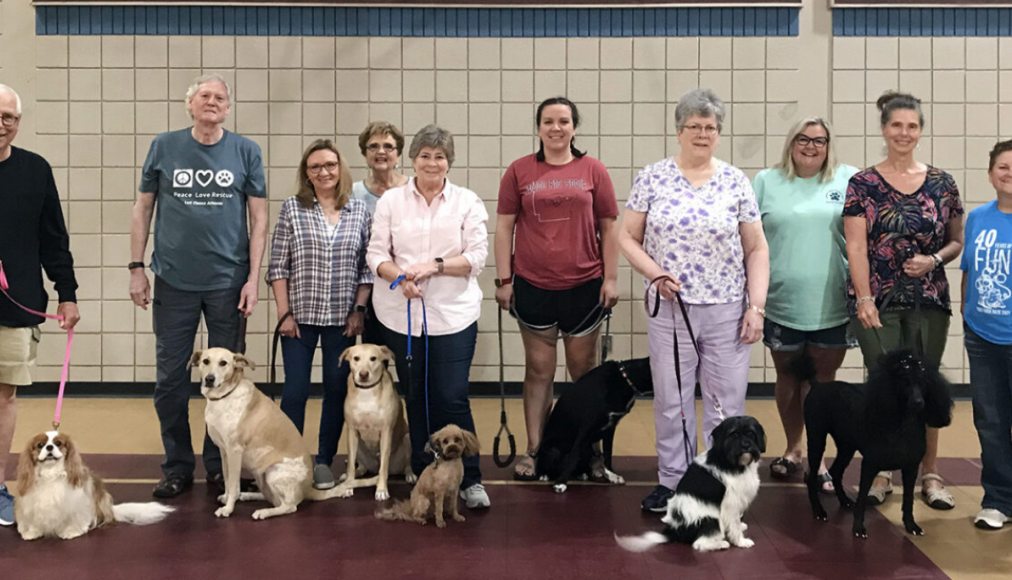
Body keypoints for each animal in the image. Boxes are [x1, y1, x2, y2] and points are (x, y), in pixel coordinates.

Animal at [191, 346, 346, 518]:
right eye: (205, 361)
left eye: (223, 363)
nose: (209, 379)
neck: (224, 396)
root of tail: (308, 490)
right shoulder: (224, 451)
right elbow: (227, 480)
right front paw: (227, 497)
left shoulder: (234, 451)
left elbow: (233, 484)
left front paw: (228, 509)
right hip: (261, 475)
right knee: (271, 498)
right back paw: (247, 495)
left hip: (273, 472)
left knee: (289, 506)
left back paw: (263, 512)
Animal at [335, 342, 414, 500]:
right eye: (356, 358)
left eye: (373, 358)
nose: (363, 374)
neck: (366, 391)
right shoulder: (352, 431)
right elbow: (350, 465)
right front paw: (348, 486)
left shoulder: (386, 432)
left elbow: (383, 467)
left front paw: (381, 490)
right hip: (358, 445)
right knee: (360, 466)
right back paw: (351, 476)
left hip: (407, 439)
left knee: (405, 466)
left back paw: (410, 475)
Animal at [534, 360, 651, 489]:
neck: (624, 378)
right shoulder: (585, 428)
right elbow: (573, 456)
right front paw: (561, 483)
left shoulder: (610, 429)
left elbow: (608, 455)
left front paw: (612, 475)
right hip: (554, 450)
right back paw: (545, 475)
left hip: (587, 449)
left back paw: (581, 474)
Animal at [611, 417, 761, 550]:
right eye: (733, 434)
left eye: (751, 434)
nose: (746, 445)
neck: (729, 460)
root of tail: (675, 531)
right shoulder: (732, 504)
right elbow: (734, 525)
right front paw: (741, 542)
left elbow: (736, 523)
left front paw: (741, 528)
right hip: (710, 519)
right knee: (698, 544)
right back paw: (721, 544)